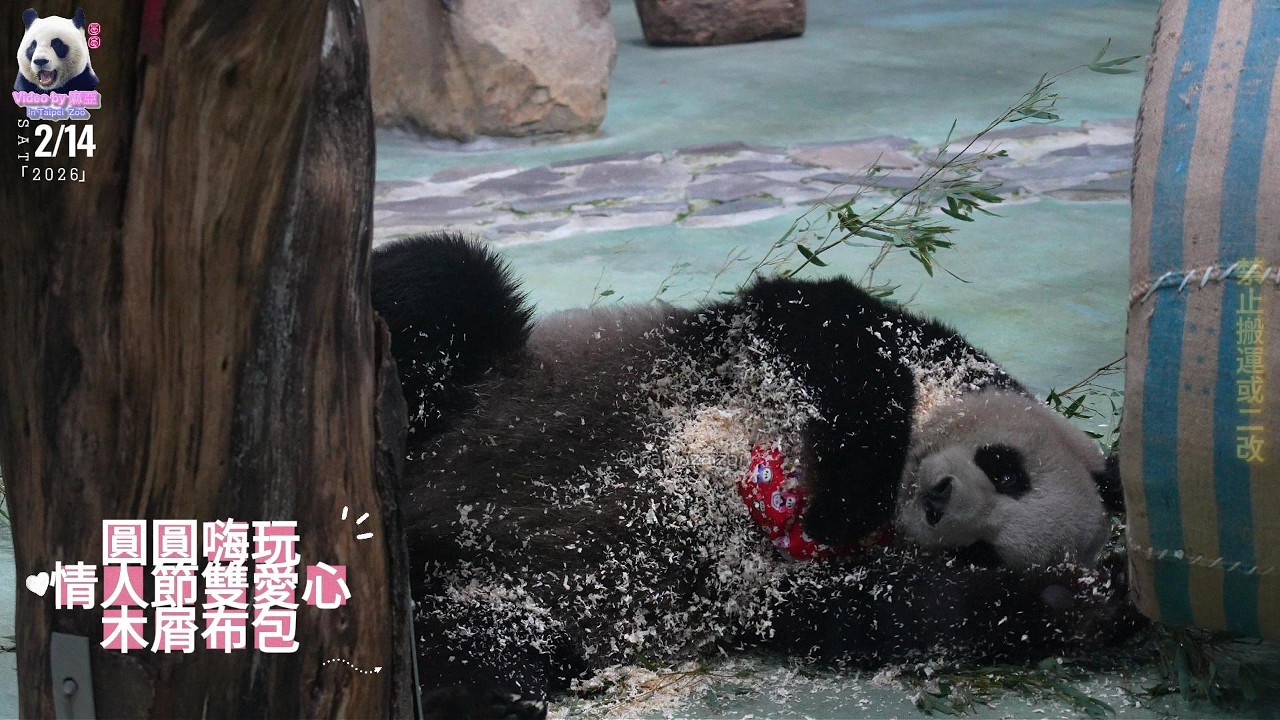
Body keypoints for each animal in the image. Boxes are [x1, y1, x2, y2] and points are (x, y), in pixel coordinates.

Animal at [372, 233, 1136, 718]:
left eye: (983, 549)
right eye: (1005, 468)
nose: (940, 504)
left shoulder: (781, 588)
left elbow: (882, 613)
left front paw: (1082, 607)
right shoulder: (801, 347)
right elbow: (819, 317)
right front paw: (850, 494)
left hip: (512, 595)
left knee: (478, 642)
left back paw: (478, 700)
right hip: (486, 384)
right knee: (444, 291)